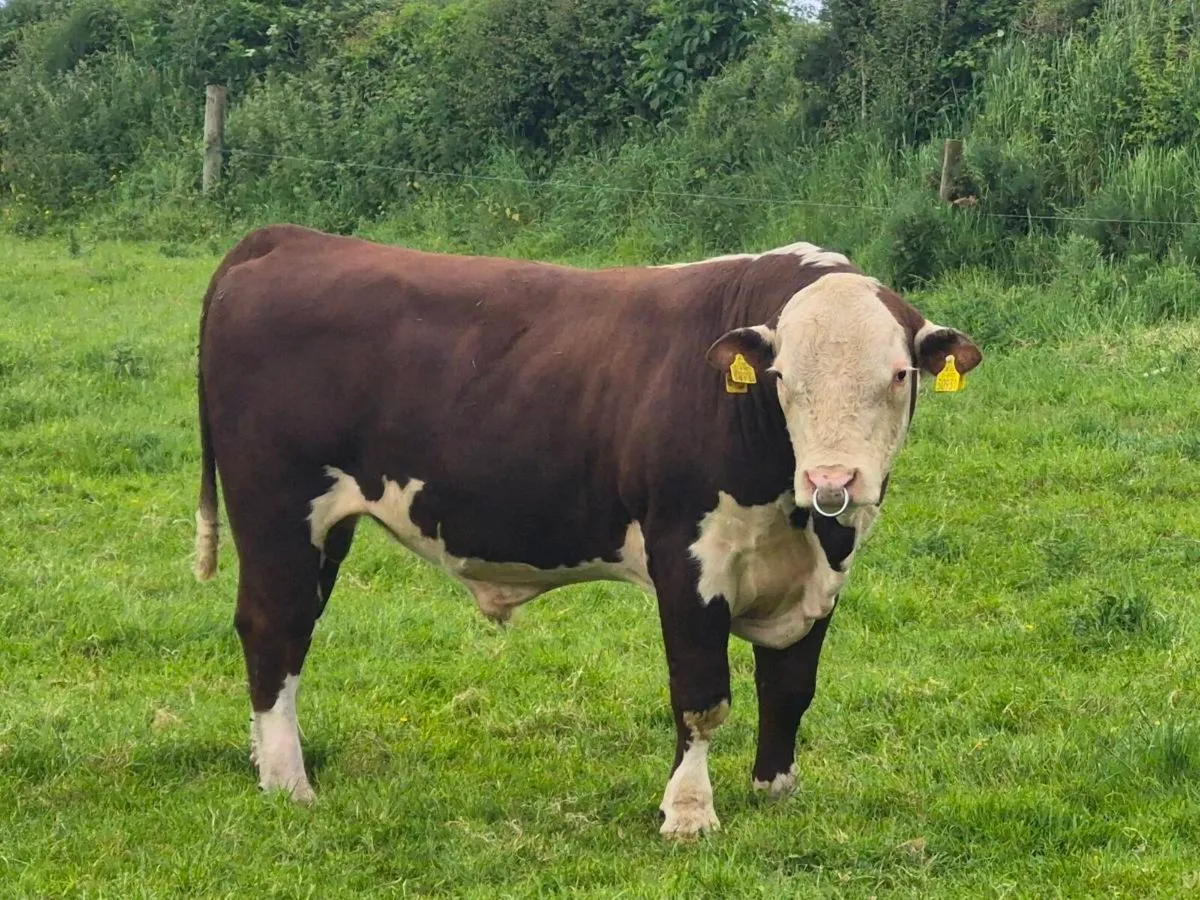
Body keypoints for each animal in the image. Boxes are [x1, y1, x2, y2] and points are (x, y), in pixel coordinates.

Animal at [193, 224, 981, 839]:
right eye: (782, 378)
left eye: (900, 374)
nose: (832, 481)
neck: (792, 512)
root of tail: (288, 239)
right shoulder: (686, 559)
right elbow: (701, 695)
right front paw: (688, 814)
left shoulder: (821, 572)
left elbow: (790, 687)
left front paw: (774, 792)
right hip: (277, 507)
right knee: (273, 626)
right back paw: (289, 782)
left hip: (322, 528)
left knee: (290, 633)